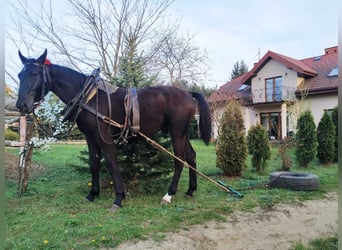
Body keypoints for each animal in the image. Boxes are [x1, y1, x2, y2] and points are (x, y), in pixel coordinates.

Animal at [17, 48, 212, 209]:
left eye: (35, 73)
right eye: (20, 75)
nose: (22, 105)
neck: (89, 97)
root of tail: (188, 94)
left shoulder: (104, 136)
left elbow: (112, 163)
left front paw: (119, 198)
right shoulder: (90, 137)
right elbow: (94, 163)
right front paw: (92, 194)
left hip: (176, 132)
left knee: (180, 159)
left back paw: (169, 195)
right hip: (183, 133)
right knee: (191, 156)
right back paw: (190, 190)